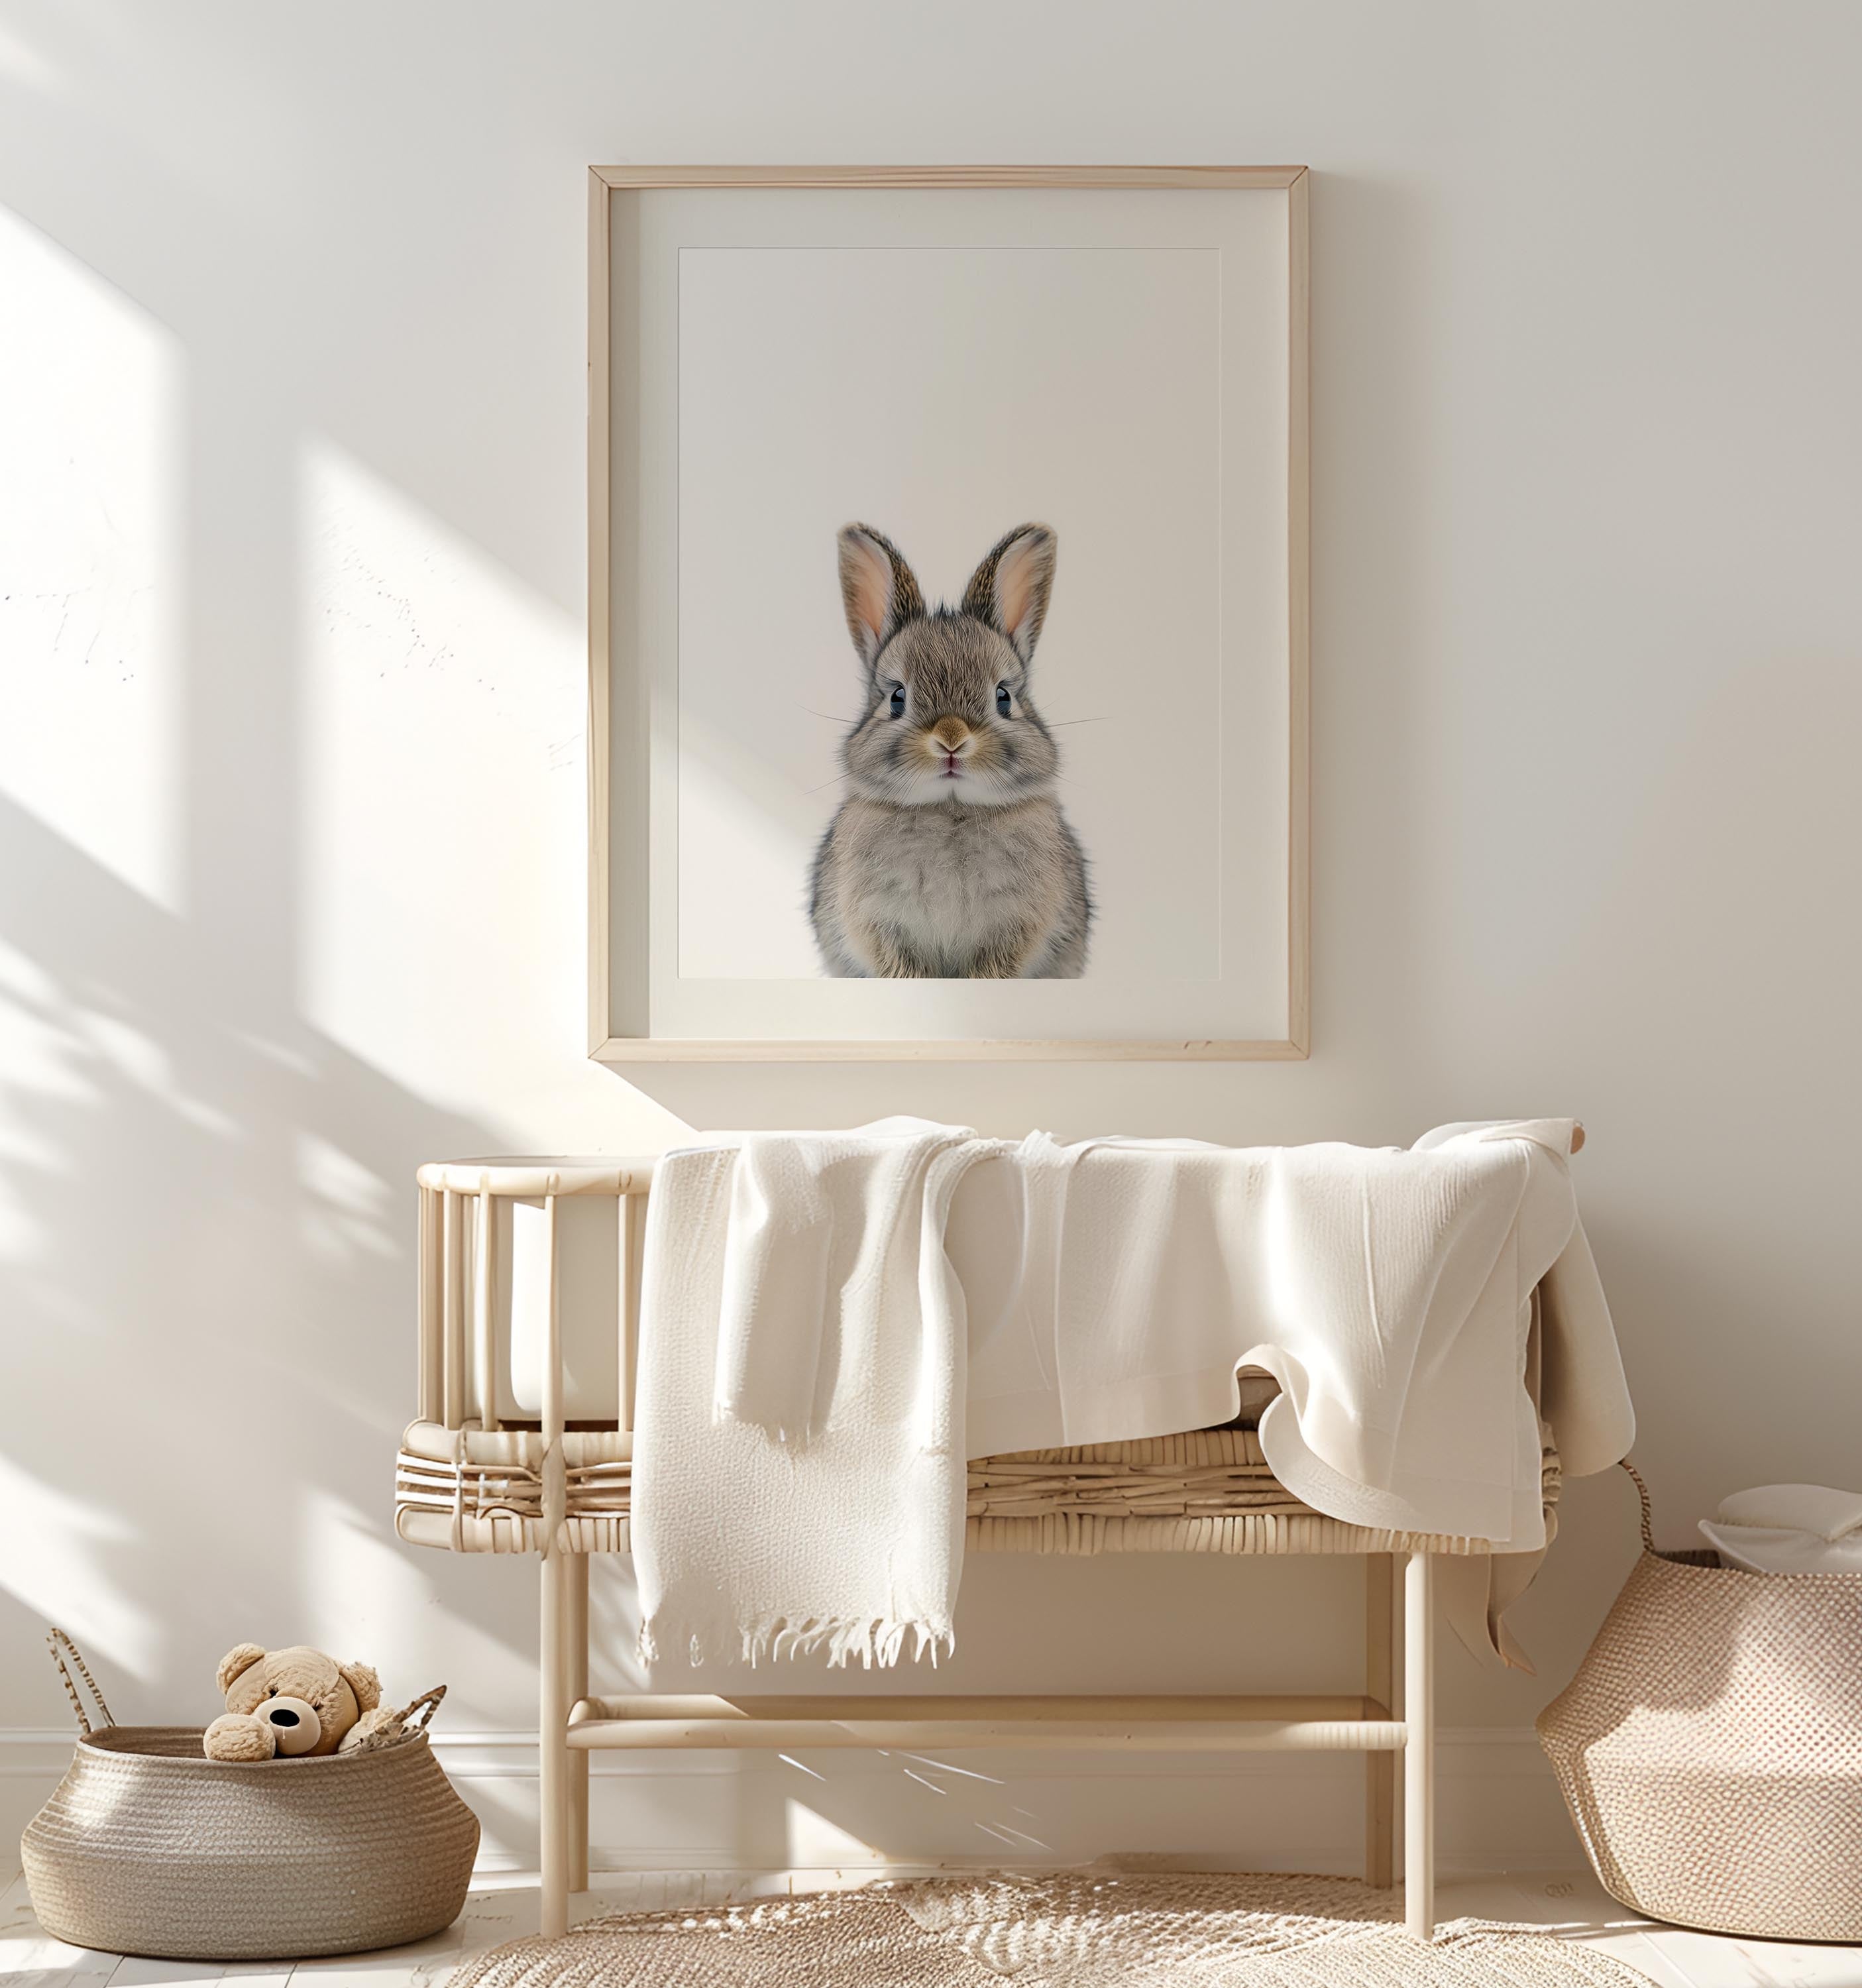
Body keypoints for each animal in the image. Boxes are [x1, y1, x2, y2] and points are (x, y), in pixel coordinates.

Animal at [809, 521, 1093, 979]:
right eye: (897, 698)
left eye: (1003, 697)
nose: (951, 739)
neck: (949, 807)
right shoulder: (878, 925)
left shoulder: (1017, 926)